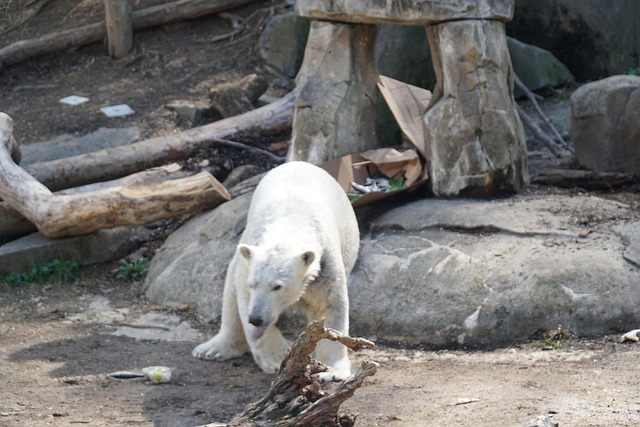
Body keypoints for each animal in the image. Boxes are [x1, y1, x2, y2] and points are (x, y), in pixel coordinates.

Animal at [192, 161, 360, 382]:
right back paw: (212, 349)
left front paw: (331, 372)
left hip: (348, 236)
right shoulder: (248, 264)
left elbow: (329, 306)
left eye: (277, 286)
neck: (290, 222)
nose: (256, 318)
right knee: (230, 291)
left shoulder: (325, 265)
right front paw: (277, 357)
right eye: (253, 284)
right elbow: (242, 297)